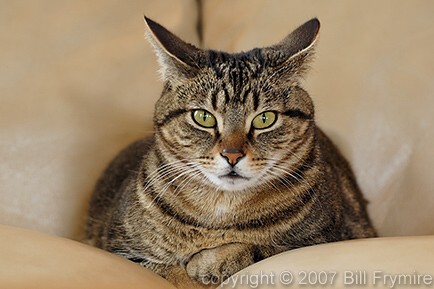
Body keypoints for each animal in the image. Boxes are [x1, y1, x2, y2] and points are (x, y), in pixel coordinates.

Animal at [85, 16, 376, 288]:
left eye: (264, 119)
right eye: (203, 117)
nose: (232, 155)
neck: (220, 212)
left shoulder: (334, 236)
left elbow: (262, 248)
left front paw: (207, 263)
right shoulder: (121, 250)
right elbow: (167, 271)